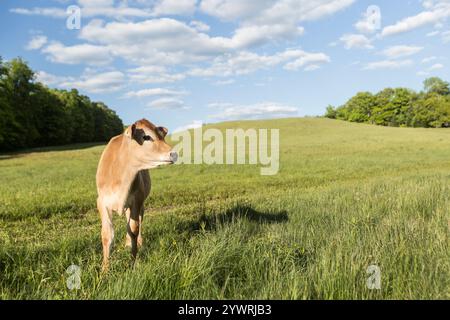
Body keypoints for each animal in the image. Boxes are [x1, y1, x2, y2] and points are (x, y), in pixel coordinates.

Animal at [96, 118, 177, 270]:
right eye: (146, 137)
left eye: (162, 136)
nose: (174, 154)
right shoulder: (102, 202)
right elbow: (107, 235)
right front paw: (105, 270)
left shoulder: (137, 200)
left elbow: (134, 229)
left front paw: (133, 262)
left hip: (141, 205)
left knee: (139, 222)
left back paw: (137, 242)